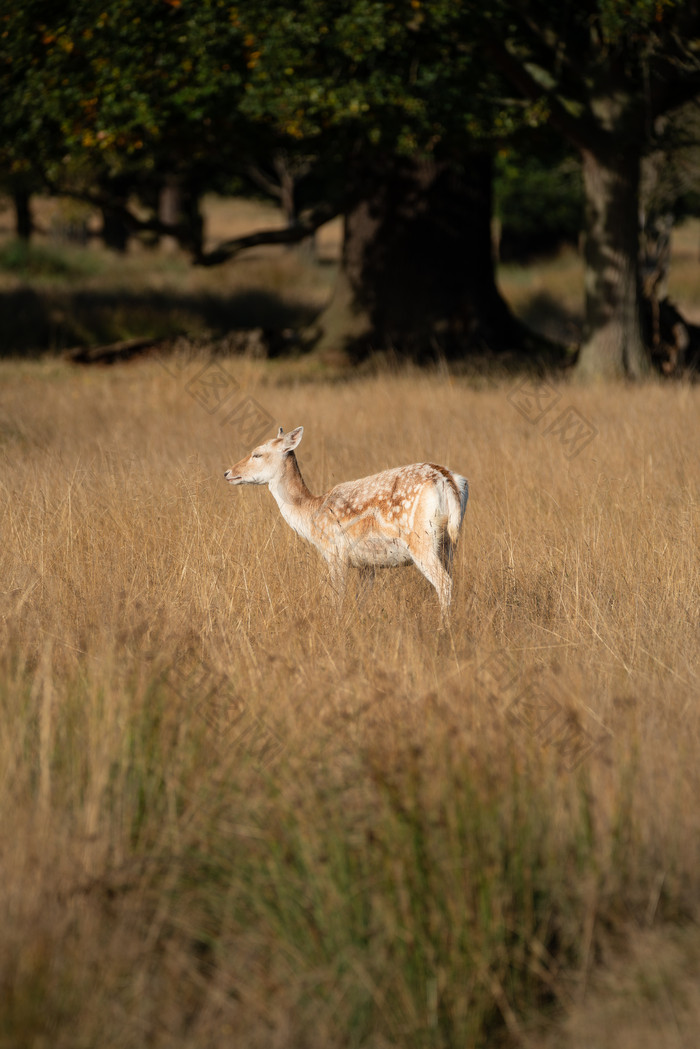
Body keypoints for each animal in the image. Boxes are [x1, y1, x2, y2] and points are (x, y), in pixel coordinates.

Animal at [224, 425, 470, 612]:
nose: (228, 472)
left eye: (257, 453)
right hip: (448, 543)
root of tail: (447, 480)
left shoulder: (336, 553)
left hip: (420, 540)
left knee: (444, 582)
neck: (311, 515)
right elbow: (361, 600)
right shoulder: (367, 564)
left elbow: (337, 598)